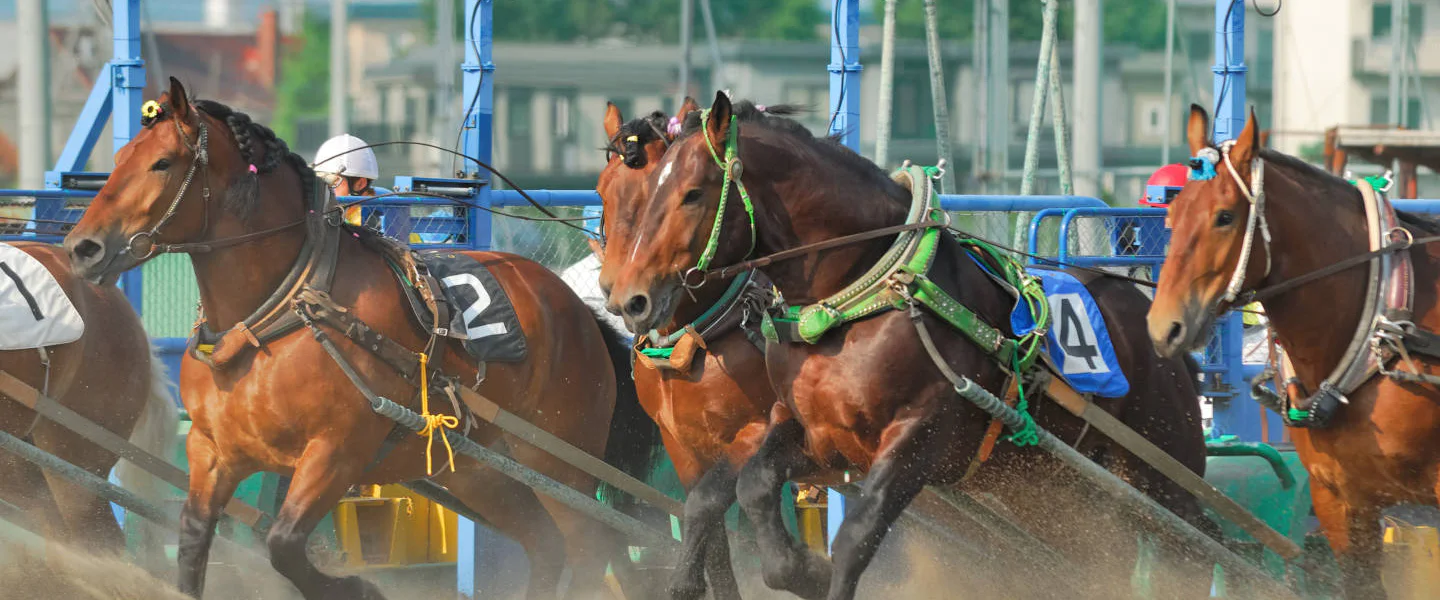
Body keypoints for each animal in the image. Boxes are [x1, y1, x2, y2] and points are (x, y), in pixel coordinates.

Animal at [60, 77, 661, 600]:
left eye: (162, 163)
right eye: (119, 159)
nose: (81, 247)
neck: (276, 314)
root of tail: (579, 312)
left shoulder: (337, 452)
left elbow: (283, 544)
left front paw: (358, 587)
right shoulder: (213, 453)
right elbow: (191, 545)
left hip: (561, 465)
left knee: (591, 549)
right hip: (480, 471)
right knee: (549, 547)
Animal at [601, 92, 1216, 600]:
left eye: (691, 194)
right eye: (625, 194)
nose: (628, 296)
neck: (847, 305)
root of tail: (1151, 314)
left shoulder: (919, 432)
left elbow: (854, 533)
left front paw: (820, 571)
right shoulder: (810, 431)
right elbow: (750, 487)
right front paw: (801, 570)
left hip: (1161, 474)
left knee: (1201, 546)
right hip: (1054, 491)